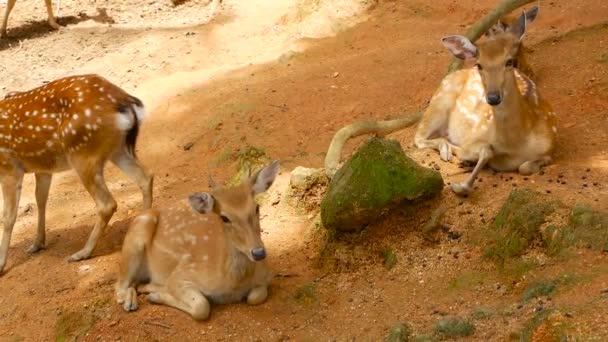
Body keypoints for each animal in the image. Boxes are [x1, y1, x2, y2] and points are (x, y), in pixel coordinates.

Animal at [0, 74, 154, 272]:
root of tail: (124, 102)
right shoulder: (43, 168)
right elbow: (41, 200)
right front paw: (37, 244)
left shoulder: (9, 167)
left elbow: (8, 216)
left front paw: (1, 265)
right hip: (116, 150)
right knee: (145, 178)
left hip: (83, 154)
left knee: (107, 203)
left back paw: (83, 253)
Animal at [115, 160, 280, 320]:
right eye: (224, 217)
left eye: (257, 207)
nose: (258, 253)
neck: (233, 283)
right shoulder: (183, 273)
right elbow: (201, 306)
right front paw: (156, 296)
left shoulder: (267, 276)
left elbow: (255, 297)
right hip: (138, 232)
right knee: (119, 288)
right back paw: (135, 300)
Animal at [416, 10, 560, 196]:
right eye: (479, 65)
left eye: (508, 61)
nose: (493, 97)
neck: (515, 145)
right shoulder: (474, 138)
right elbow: (483, 152)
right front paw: (460, 184)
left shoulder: (551, 145)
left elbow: (525, 167)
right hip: (439, 100)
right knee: (419, 138)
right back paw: (447, 151)